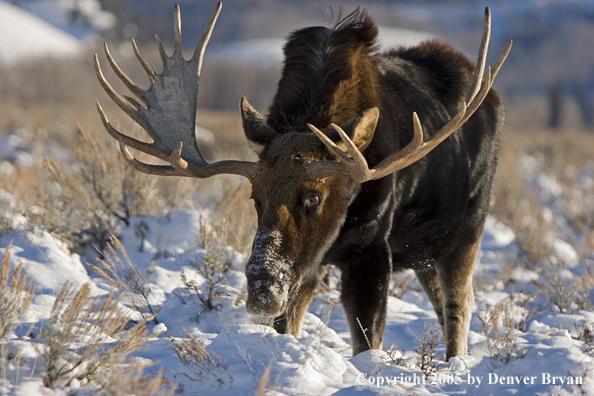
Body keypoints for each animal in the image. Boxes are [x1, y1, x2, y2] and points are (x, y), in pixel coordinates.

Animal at [92, 2, 508, 358]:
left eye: (313, 197)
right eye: (254, 198)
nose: (261, 293)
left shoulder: (371, 248)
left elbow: (368, 340)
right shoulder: (309, 261)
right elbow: (288, 325)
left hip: (467, 230)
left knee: (459, 307)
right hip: (420, 252)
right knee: (441, 304)